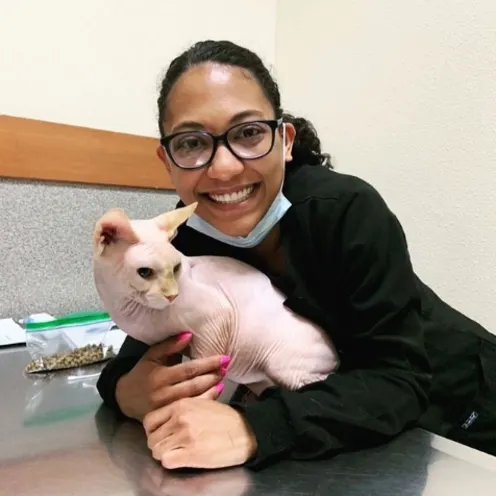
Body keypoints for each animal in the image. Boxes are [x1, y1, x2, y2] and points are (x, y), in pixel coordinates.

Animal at [92, 202, 340, 396]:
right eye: (144, 272)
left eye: (176, 268)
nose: (173, 295)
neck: (129, 310)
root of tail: (335, 353)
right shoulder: (166, 343)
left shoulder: (214, 323)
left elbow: (204, 374)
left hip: (285, 368)